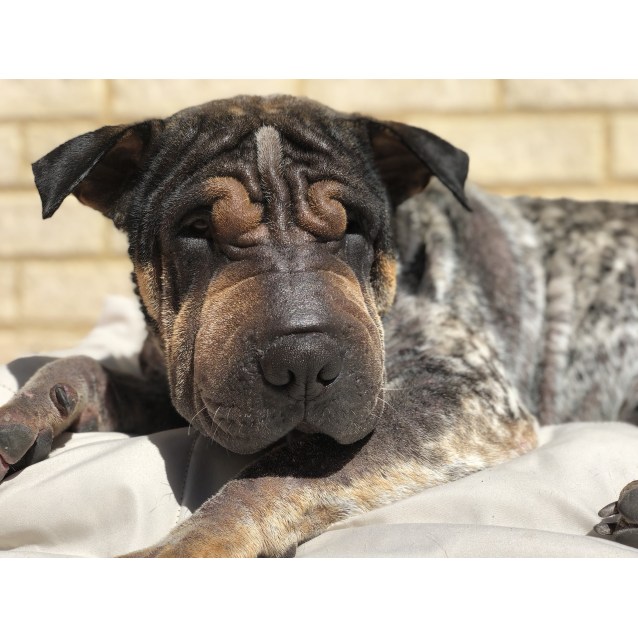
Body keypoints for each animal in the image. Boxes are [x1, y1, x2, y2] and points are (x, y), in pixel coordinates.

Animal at [1, 92, 638, 556]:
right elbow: (82, 366)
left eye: (353, 225)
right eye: (196, 231)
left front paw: (181, 548)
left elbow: (279, 471)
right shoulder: (182, 384)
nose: (303, 361)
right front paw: (28, 411)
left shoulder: (459, 390)